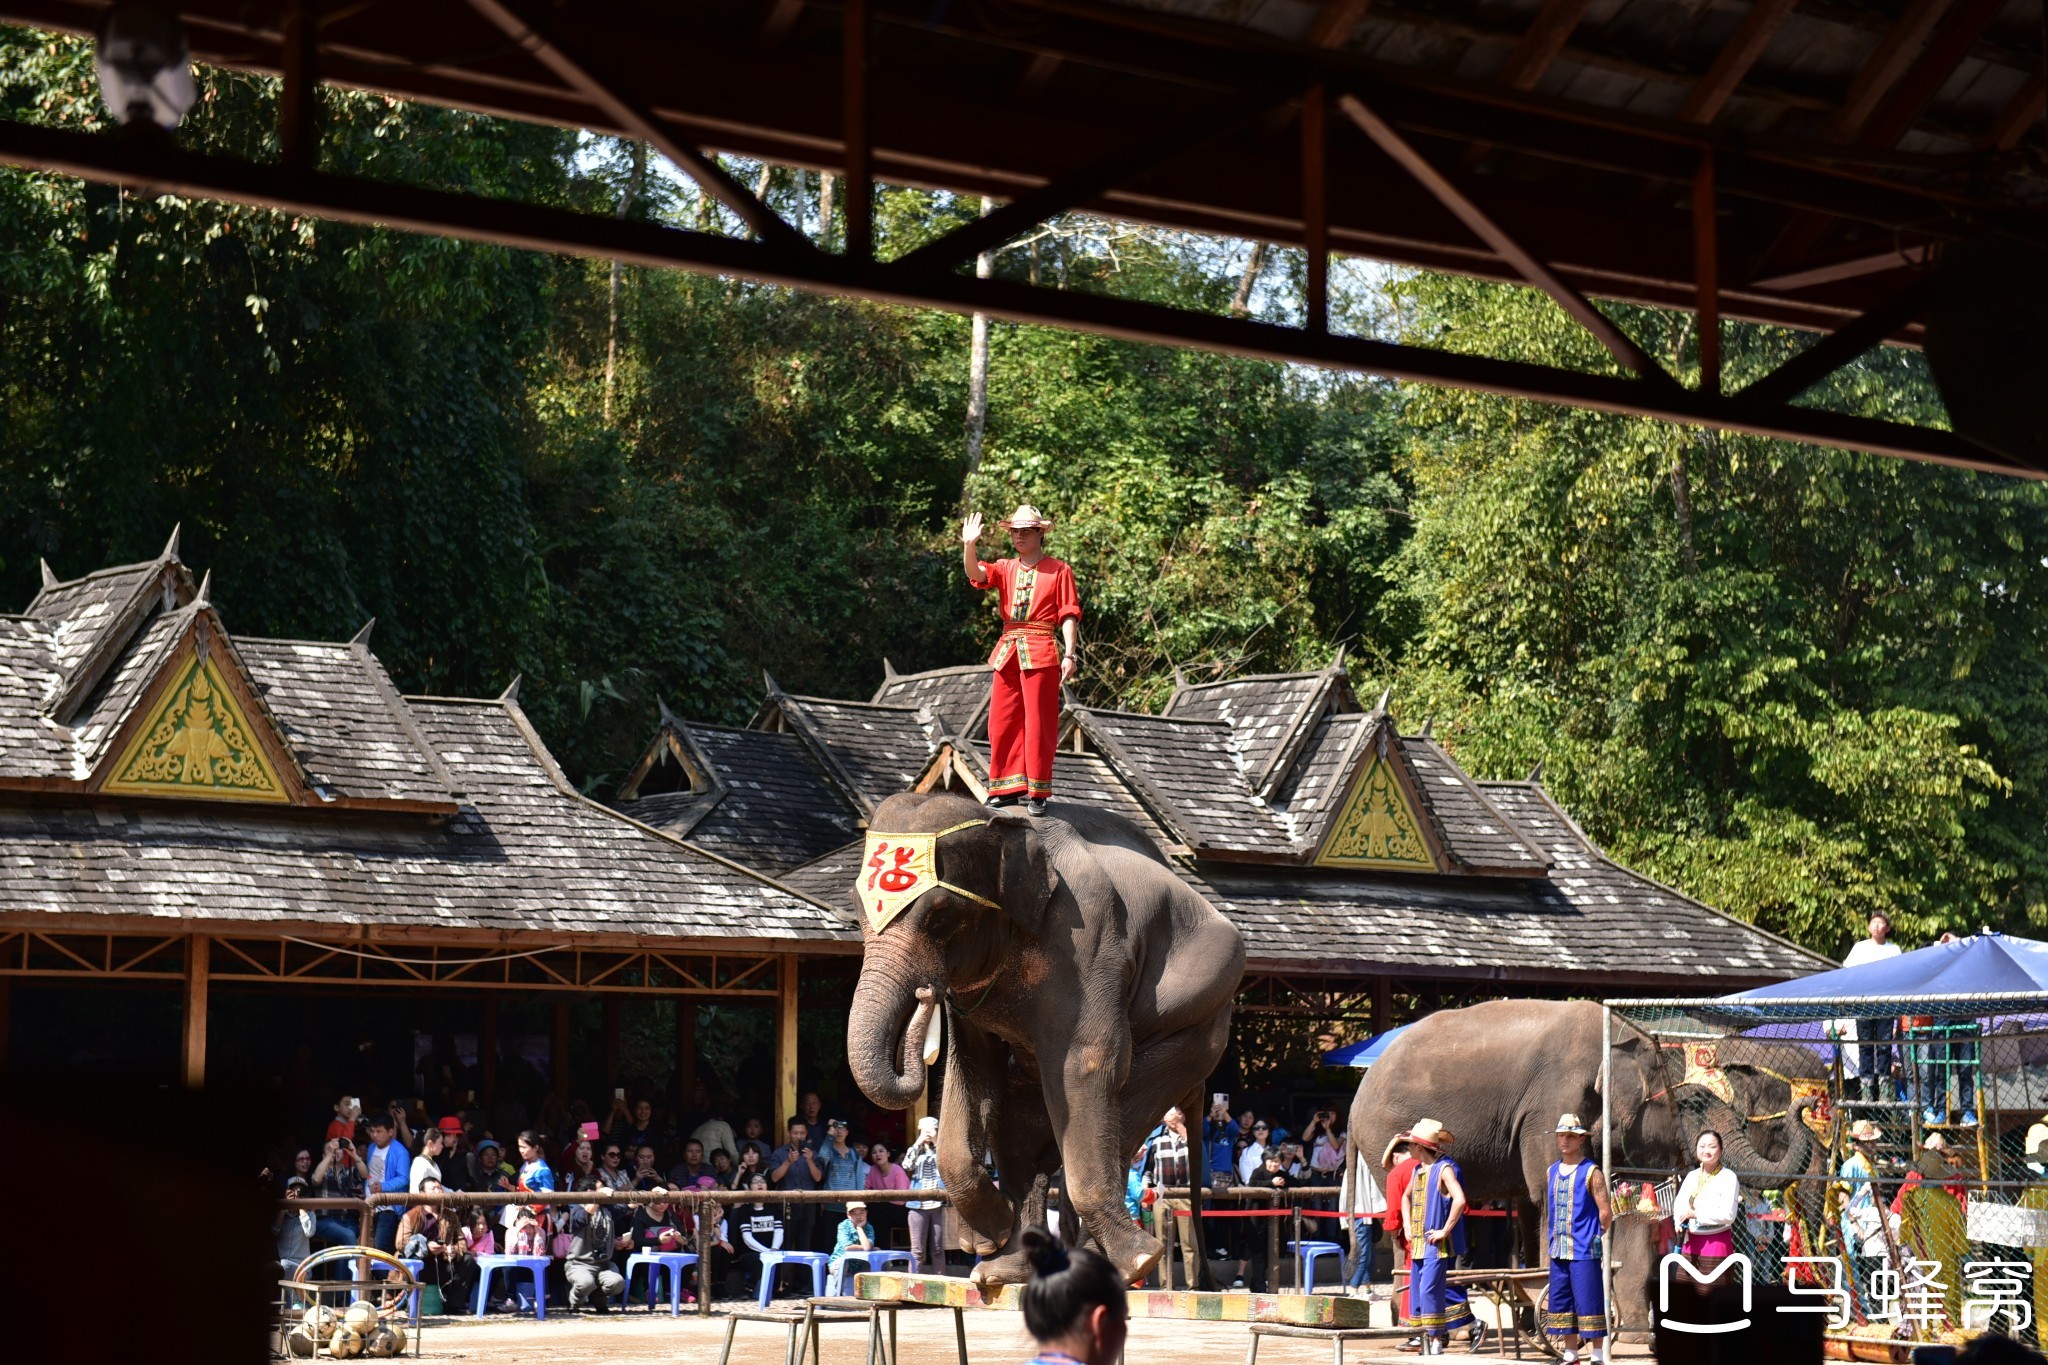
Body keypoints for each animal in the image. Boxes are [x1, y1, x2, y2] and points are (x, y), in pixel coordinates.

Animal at [839, 794, 1236, 1285]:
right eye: (857, 910)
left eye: (940, 916)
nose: (926, 994)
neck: (1004, 824)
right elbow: (972, 1068)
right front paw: (989, 1235)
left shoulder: (1086, 942)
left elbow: (1086, 1061)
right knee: (1022, 1135)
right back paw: (1005, 1268)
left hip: (1198, 1028)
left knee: (1128, 1109)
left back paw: (1124, 1263)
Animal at [1343, 998, 1826, 1268]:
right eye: (1692, 1104)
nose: (1805, 1105)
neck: (1630, 1040)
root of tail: (1354, 1102)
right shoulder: (1549, 1103)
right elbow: (1542, 1195)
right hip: (1387, 1135)